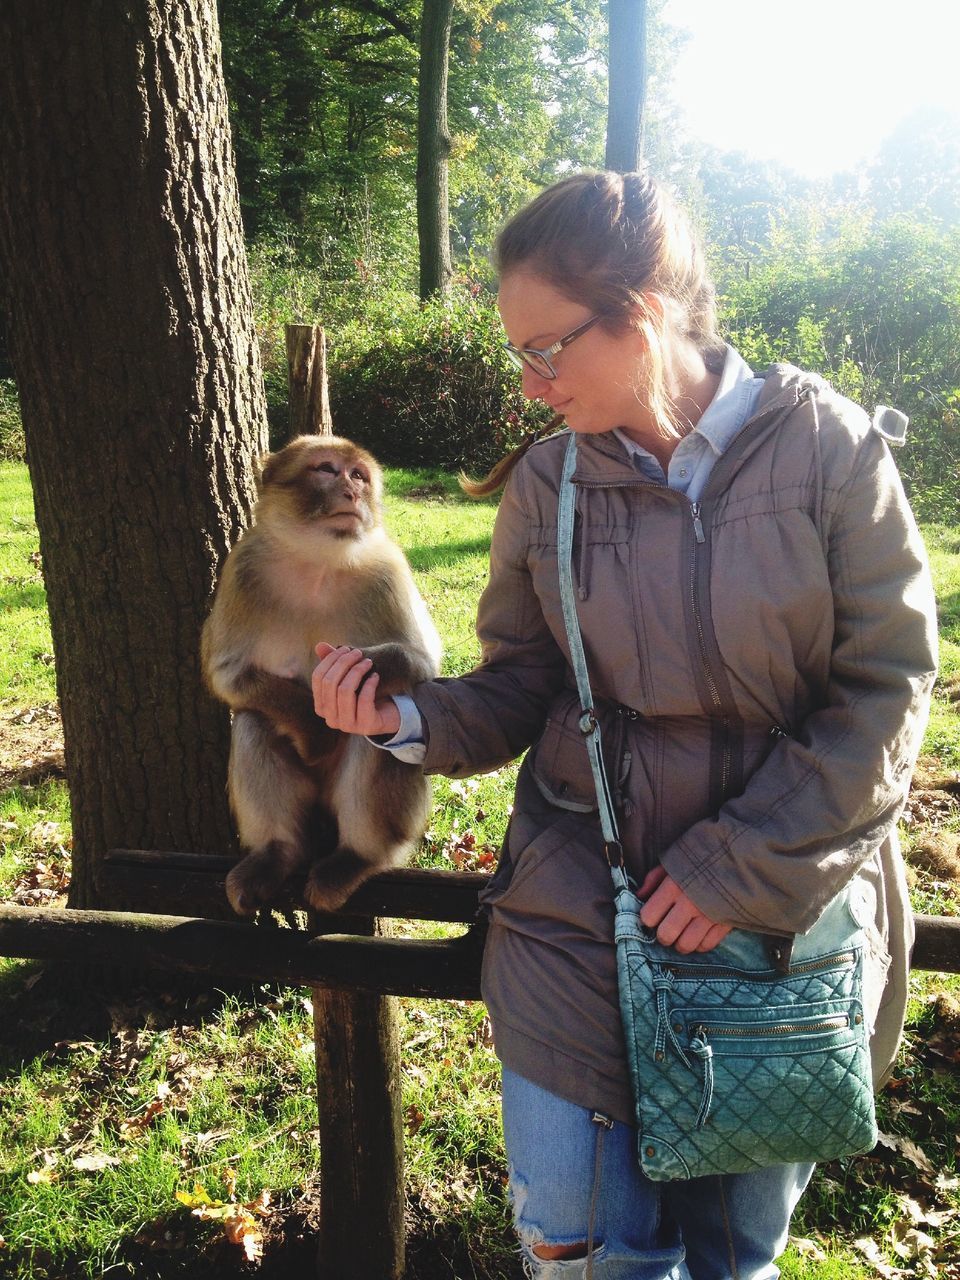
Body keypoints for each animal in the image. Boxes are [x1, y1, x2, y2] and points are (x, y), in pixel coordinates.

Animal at [204, 435, 445, 916]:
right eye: (327, 470)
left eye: (359, 476)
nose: (351, 492)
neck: (317, 560)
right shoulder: (242, 571)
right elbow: (229, 674)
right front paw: (314, 728)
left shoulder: (388, 570)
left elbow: (422, 664)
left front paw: (347, 676)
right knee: (254, 720)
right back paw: (275, 853)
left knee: (371, 718)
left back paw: (357, 858)